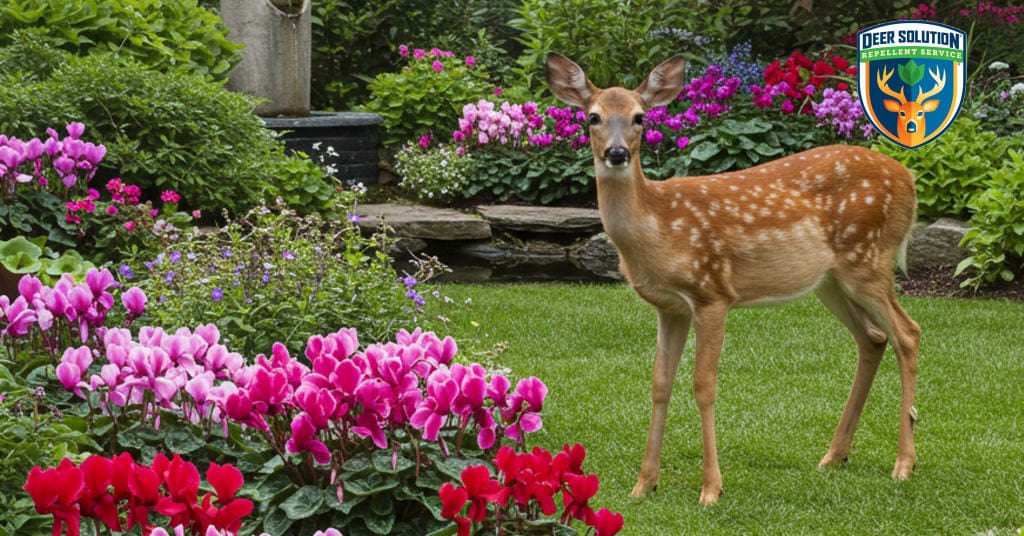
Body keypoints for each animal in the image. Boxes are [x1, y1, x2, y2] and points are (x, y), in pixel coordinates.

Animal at [546, 53, 921, 506]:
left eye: (639, 117)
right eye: (592, 117)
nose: (617, 153)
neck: (659, 228)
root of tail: (910, 180)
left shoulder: (712, 292)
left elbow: (703, 385)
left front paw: (711, 488)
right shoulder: (670, 307)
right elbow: (659, 383)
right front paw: (644, 484)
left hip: (868, 261)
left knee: (908, 333)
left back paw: (904, 464)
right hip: (831, 281)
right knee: (873, 338)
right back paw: (835, 455)